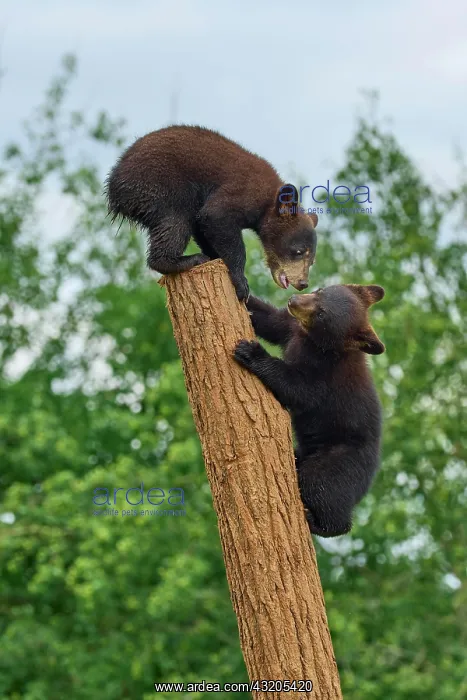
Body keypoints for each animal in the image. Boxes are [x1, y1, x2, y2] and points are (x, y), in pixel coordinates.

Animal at [105, 125, 318, 301]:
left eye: (312, 260)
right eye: (299, 251)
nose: (303, 283)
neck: (268, 200)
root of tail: (113, 186)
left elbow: (202, 225)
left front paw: (215, 255)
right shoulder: (242, 192)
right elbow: (215, 216)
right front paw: (241, 283)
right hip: (159, 186)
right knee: (175, 221)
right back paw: (187, 259)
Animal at [234, 283, 385, 537]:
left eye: (322, 314)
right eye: (321, 290)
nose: (294, 301)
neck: (316, 344)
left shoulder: (325, 373)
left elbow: (297, 387)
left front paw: (252, 352)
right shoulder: (292, 327)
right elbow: (270, 319)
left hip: (339, 462)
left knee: (321, 488)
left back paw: (319, 522)